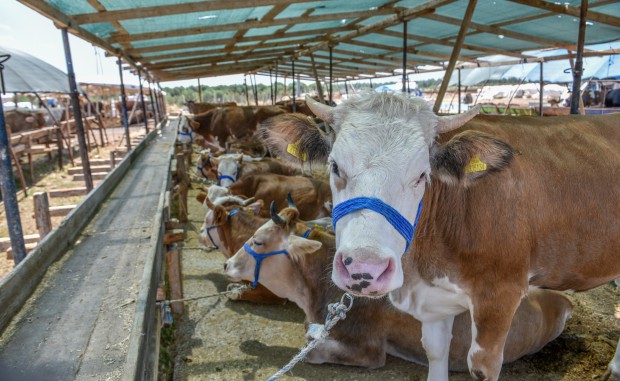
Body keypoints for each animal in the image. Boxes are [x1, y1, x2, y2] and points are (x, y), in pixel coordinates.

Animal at [260, 93, 620, 380]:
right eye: (334, 166)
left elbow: (482, 366)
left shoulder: (500, 295)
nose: (365, 270)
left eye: (422, 175)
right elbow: (435, 352)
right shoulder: (433, 301)